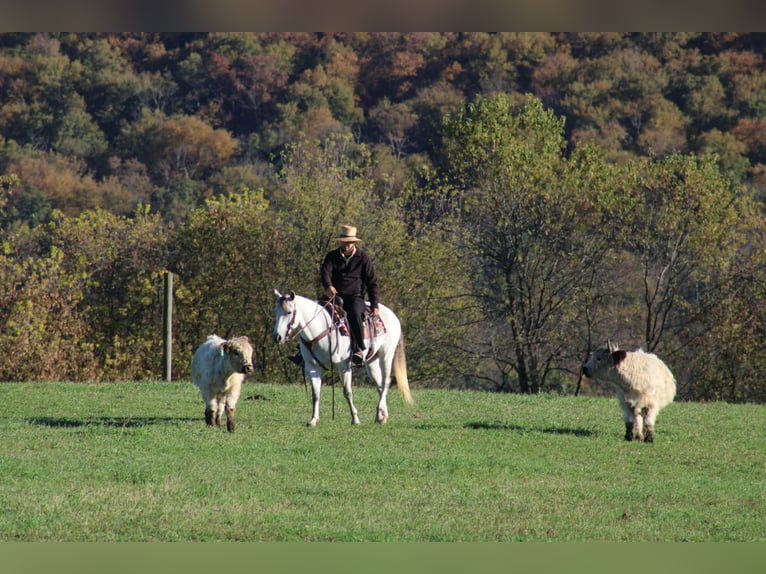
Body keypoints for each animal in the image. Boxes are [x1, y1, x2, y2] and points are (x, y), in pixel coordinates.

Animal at [272, 289, 414, 427]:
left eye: (289, 312)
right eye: (275, 312)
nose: (277, 337)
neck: (321, 330)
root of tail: (393, 315)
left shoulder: (343, 366)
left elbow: (347, 392)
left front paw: (355, 419)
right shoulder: (312, 367)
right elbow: (316, 394)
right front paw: (313, 420)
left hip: (386, 356)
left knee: (386, 382)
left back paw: (380, 411)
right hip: (372, 362)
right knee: (379, 385)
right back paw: (381, 416)